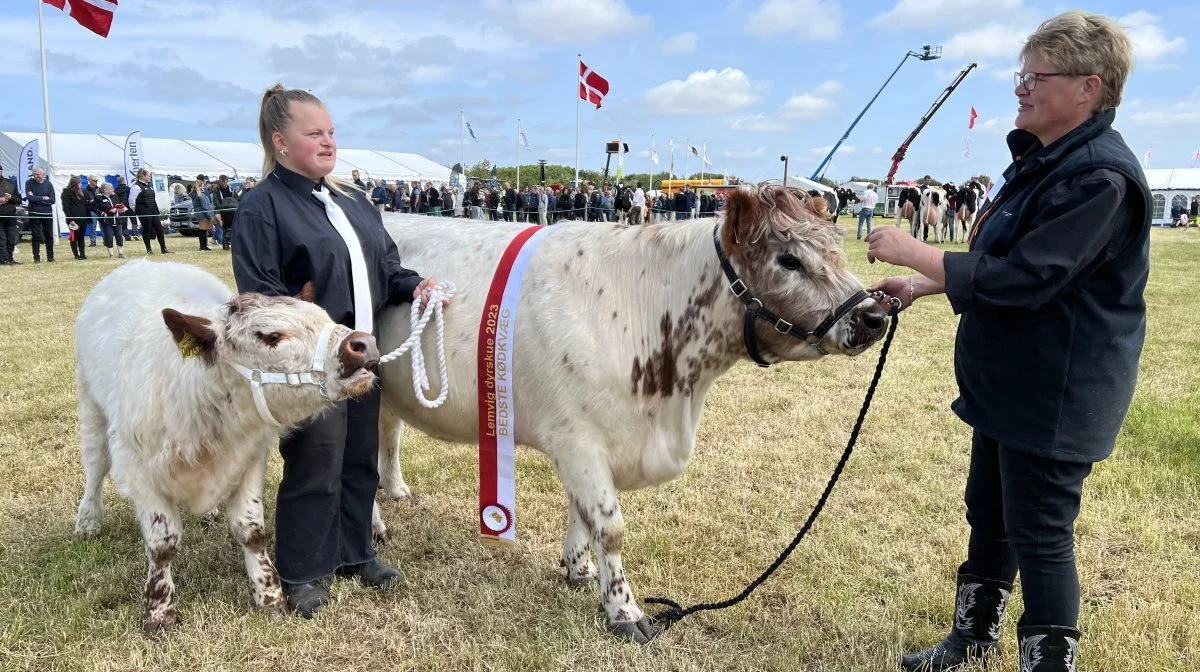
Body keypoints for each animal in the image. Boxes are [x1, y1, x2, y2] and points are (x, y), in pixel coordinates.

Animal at [72, 260, 379, 633]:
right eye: (270, 336)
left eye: (324, 316)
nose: (363, 342)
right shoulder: (137, 468)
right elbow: (162, 544)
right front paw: (158, 612)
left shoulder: (250, 458)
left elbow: (252, 531)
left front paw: (269, 595)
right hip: (90, 403)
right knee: (95, 465)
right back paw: (87, 520)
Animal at [372, 184, 892, 648]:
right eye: (788, 260)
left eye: (836, 248)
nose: (874, 316)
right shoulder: (579, 439)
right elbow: (610, 527)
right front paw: (624, 610)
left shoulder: (592, 443)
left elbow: (583, 515)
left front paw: (579, 569)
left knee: (388, 435)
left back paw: (396, 490)